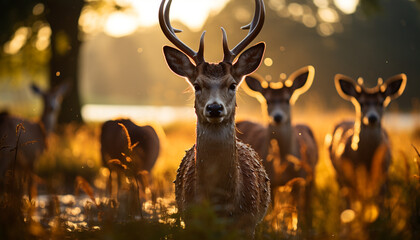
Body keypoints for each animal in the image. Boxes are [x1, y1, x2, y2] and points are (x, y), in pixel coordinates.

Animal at [236, 65, 318, 232]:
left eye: (287, 99)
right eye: (267, 100)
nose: (277, 117)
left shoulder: (298, 179)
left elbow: (295, 210)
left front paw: (294, 230)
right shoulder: (271, 181)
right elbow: (274, 210)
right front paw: (275, 229)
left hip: (312, 174)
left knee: (307, 203)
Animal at [328, 73, 406, 210]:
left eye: (381, 102)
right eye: (361, 103)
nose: (372, 118)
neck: (367, 159)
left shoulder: (383, 175)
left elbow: (379, 204)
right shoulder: (350, 176)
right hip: (338, 174)